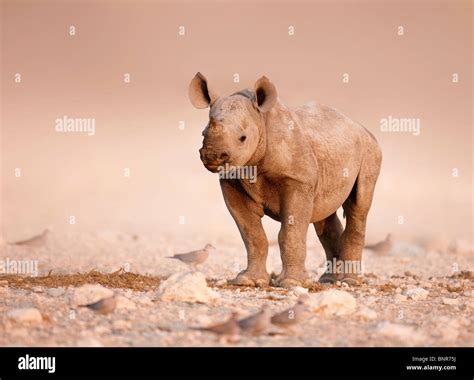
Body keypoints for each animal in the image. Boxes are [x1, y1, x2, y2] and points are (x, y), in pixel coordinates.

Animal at [189, 72, 382, 288]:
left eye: (243, 138)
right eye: (203, 133)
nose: (212, 156)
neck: (261, 120)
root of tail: (359, 126)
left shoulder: (297, 180)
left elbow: (290, 233)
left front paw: (290, 283)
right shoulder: (231, 181)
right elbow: (252, 235)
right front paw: (247, 280)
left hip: (370, 150)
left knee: (358, 207)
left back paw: (350, 281)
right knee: (324, 212)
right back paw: (328, 280)